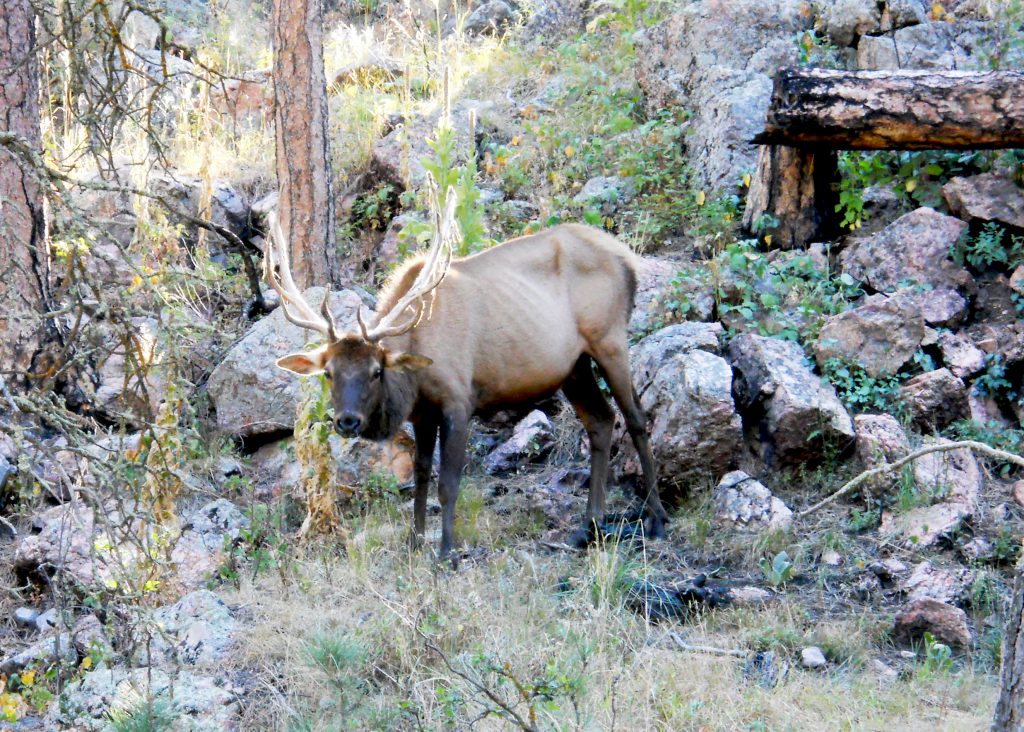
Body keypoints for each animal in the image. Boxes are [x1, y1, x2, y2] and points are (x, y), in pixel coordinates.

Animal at [264, 189, 667, 561]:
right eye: (329, 373)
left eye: (376, 371)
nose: (347, 421)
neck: (414, 377)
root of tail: (628, 260)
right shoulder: (423, 414)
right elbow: (421, 475)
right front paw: (414, 542)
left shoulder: (458, 400)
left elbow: (449, 483)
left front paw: (447, 551)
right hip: (574, 366)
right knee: (601, 419)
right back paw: (589, 526)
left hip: (610, 339)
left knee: (635, 417)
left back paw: (656, 519)